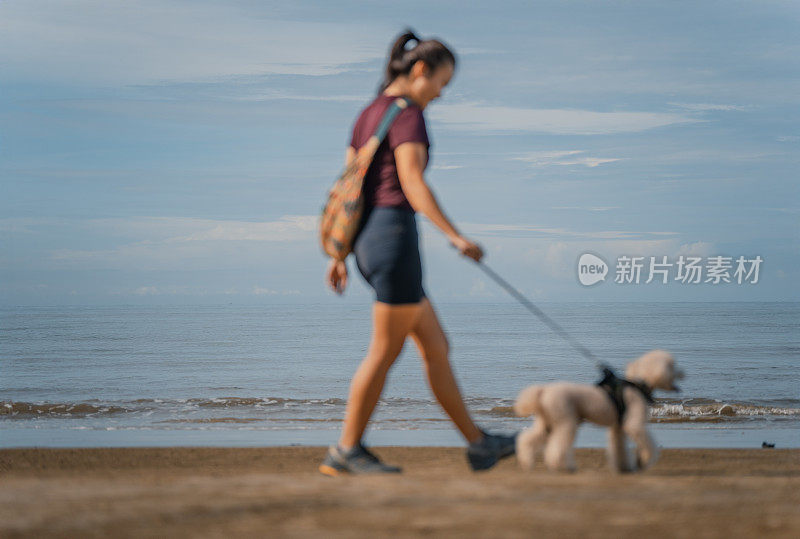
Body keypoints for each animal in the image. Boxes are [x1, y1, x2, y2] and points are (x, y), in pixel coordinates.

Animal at [516, 350, 684, 472]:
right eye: (672, 366)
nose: (684, 373)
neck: (636, 384)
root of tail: (543, 392)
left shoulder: (617, 427)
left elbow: (619, 447)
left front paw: (624, 467)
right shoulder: (633, 423)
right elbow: (644, 440)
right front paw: (645, 460)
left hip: (548, 421)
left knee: (528, 440)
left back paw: (526, 462)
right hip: (565, 421)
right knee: (557, 447)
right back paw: (564, 466)